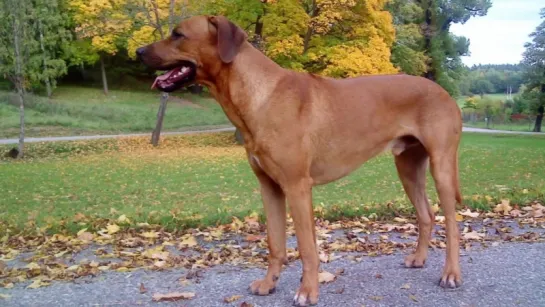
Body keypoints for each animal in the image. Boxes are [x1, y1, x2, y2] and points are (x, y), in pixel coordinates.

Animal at [137, 15, 464, 307]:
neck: (260, 95)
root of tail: (445, 93)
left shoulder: (297, 186)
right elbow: (275, 243)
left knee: (451, 221)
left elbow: (307, 248)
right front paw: (268, 284)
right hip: (407, 167)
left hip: (442, 166)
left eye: (178, 34)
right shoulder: (269, 186)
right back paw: (419, 258)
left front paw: (307, 291)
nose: (138, 52)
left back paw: (451, 273)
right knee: (426, 215)